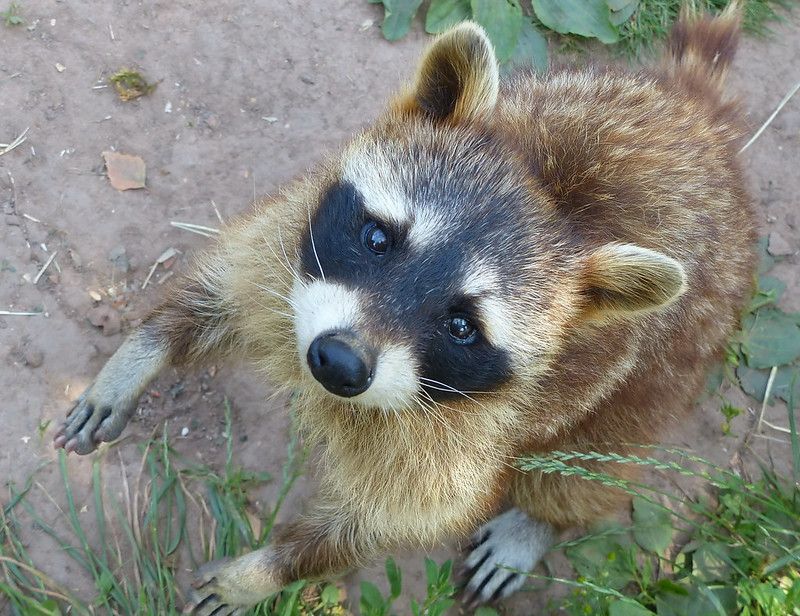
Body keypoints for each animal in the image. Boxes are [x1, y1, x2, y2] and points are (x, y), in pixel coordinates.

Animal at [54, 4, 756, 613]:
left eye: (462, 325)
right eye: (377, 238)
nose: (337, 363)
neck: (553, 191)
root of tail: (693, 113)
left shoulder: (472, 434)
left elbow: (388, 521)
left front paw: (264, 571)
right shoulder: (292, 239)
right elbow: (224, 294)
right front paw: (140, 355)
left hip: (677, 352)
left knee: (592, 454)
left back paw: (539, 519)